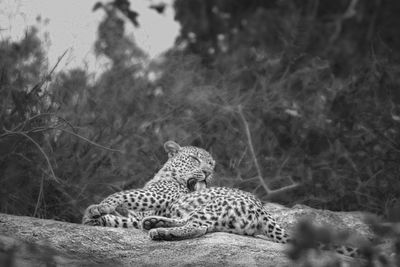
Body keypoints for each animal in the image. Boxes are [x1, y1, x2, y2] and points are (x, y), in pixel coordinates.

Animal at [81, 139, 216, 229]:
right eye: (194, 159)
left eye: (210, 164)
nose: (208, 172)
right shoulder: (137, 219)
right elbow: (122, 221)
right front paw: (94, 219)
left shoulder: (158, 194)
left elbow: (123, 194)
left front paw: (100, 206)